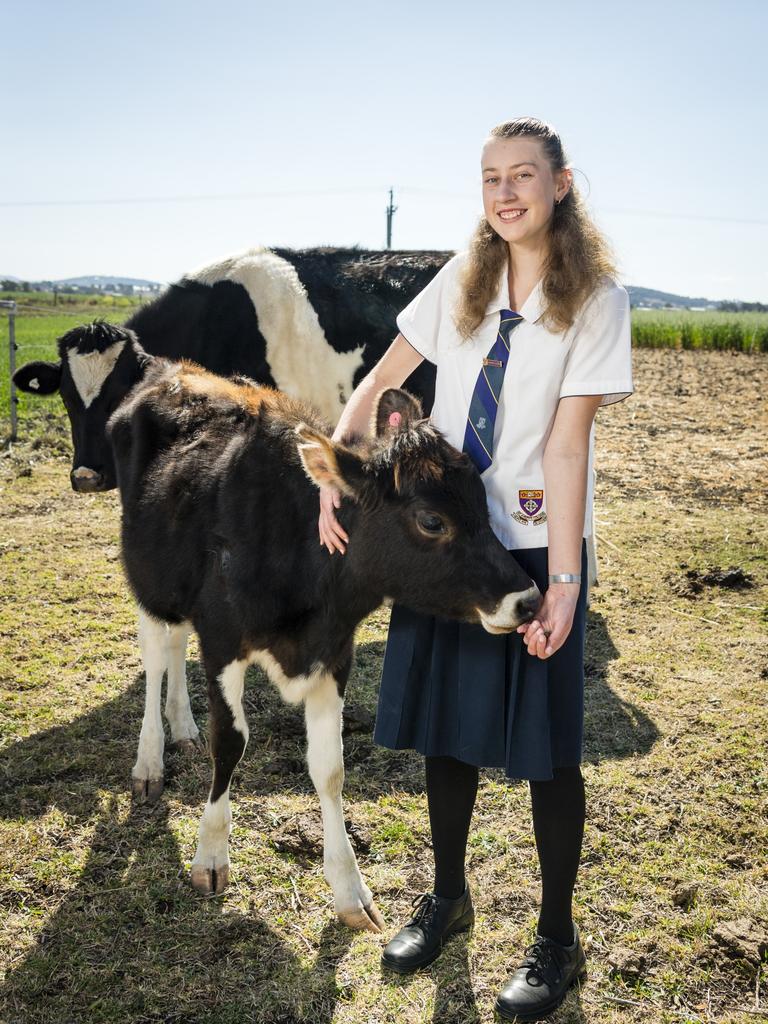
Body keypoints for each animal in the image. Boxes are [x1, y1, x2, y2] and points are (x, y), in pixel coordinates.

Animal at [107, 362, 540, 937]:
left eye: (483, 503)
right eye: (431, 521)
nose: (528, 599)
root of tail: (173, 370)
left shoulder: (334, 653)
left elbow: (330, 769)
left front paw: (350, 890)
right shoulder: (222, 640)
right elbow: (231, 742)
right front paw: (212, 855)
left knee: (175, 649)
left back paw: (183, 726)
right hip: (150, 578)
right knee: (158, 653)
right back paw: (151, 760)